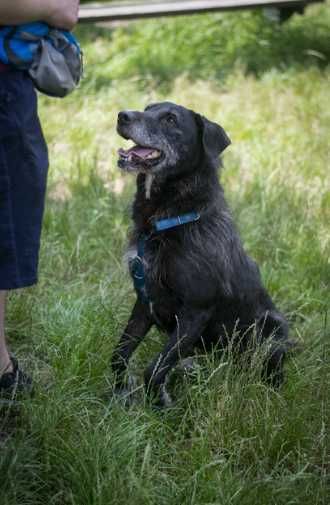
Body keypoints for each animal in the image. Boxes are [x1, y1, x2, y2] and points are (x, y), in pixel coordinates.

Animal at [112, 102, 290, 406]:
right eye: (147, 107)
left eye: (170, 119)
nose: (122, 115)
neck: (173, 218)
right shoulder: (145, 300)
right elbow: (119, 353)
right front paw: (119, 393)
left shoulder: (196, 310)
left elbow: (154, 368)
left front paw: (161, 406)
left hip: (272, 328)